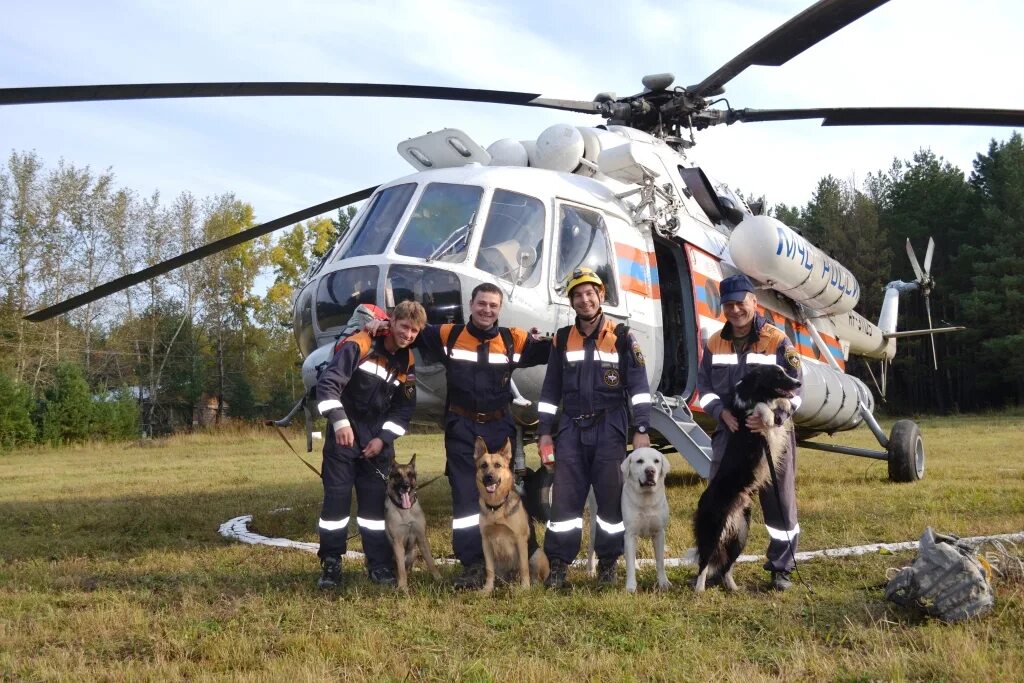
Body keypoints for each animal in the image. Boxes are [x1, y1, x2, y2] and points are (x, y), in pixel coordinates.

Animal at [382, 456, 442, 589]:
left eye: (410, 475)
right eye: (397, 475)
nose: (406, 486)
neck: (405, 510)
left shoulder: (422, 538)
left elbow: (430, 561)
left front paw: (439, 578)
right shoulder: (397, 543)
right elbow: (401, 570)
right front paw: (403, 587)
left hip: (413, 553)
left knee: (408, 568)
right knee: (398, 569)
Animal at [473, 438, 548, 593]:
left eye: (498, 465)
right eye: (483, 465)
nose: (489, 478)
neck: (496, 507)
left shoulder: (520, 540)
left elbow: (524, 567)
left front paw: (525, 588)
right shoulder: (486, 542)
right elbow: (489, 570)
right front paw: (487, 589)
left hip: (537, 554)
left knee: (535, 575)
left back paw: (532, 585)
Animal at [614, 448, 671, 593]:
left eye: (656, 461)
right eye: (639, 461)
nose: (650, 471)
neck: (646, 499)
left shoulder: (659, 533)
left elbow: (660, 561)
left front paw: (664, 583)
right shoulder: (630, 534)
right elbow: (629, 564)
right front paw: (630, 586)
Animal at [696, 362, 798, 593]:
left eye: (785, 372)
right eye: (778, 374)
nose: (798, 382)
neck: (754, 391)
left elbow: (779, 404)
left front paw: (785, 404)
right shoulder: (747, 416)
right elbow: (761, 408)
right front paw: (768, 416)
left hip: (740, 534)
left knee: (726, 565)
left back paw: (733, 588)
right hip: (714, 530)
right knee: (704, 562)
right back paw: (699, 590)